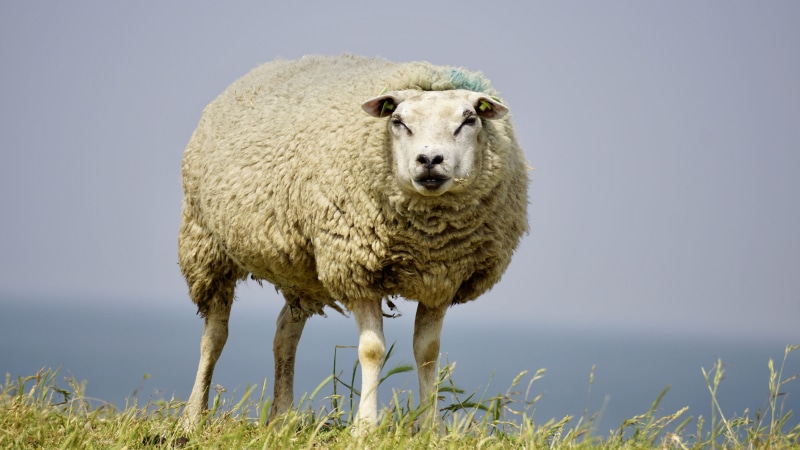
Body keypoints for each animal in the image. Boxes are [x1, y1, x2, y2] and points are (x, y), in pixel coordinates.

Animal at [178, 54, 529, 432]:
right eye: (398, 121)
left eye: (469, 120)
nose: (430, 160)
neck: (428, 236)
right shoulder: (356, 269)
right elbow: (372, 350)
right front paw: (366, 427)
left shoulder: (441, 279)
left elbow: (427, 352)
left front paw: (431, 427)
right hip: (206, 244)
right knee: (214, 335)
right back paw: (192, 418)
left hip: (302, 273)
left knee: (285, 334)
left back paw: (281, 418)